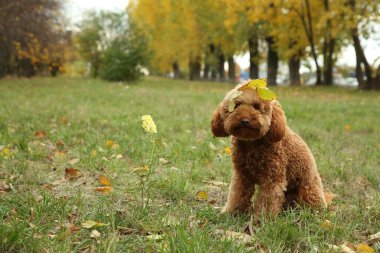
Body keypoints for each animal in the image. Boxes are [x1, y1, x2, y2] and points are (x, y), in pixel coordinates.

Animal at [211, 83, 326, 221]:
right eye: (236, 105)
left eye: (257, 106)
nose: (244, 120)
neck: (252, 143)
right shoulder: (242, 175)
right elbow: (236, 194)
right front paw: (232, 213)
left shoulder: (272, 178)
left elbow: (267, 202)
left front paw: (262, 221)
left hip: (307, 192)